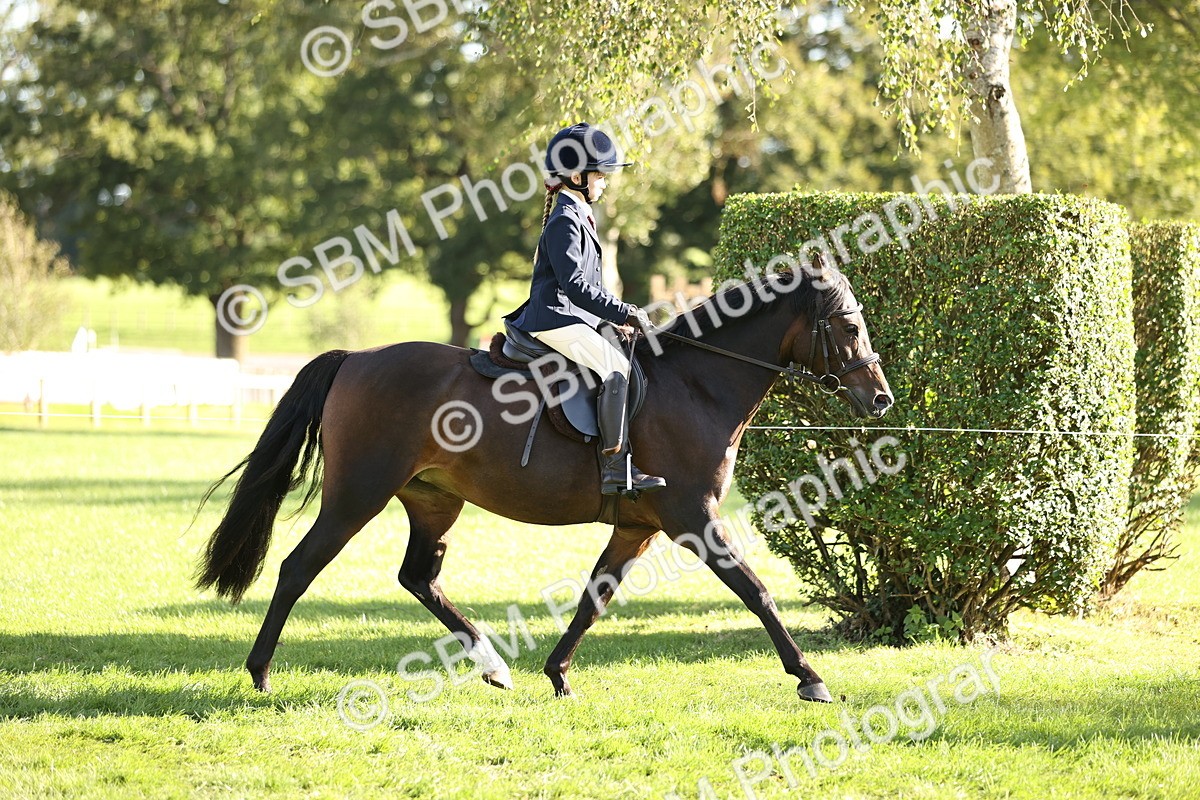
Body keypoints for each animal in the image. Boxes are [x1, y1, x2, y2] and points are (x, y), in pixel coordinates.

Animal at [194, 266, 893, 703]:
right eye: (848, 326)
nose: (881, 398)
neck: (697, 385)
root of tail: (356, 360)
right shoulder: (693, 519)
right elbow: (756, 591)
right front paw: (810, 678)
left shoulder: (637, 527)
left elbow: (593, 600)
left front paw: (557, 675)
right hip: (356, 497)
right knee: (298, 568)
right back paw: (260, 674)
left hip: (434, 499)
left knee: (418, 576)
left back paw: (494, 666)